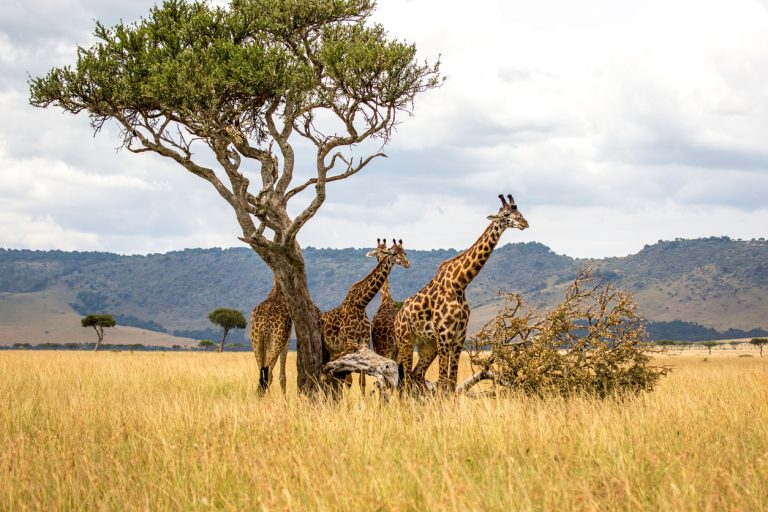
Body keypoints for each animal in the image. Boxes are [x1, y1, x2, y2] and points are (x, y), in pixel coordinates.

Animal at [322, 239, 410, 390]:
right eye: (392, 252)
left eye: (404, 252)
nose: (407, 263)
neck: (360, 304)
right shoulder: (350, 341)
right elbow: (352, 378)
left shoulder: (365, 341)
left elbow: (361, 380)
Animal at [394, 194, 529, 393]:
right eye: (506, 214)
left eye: (519, 211)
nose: (524, 223)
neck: (459, 284)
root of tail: (397, 317)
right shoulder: (444, 335)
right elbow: (443, 381)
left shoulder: (459, 337)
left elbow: (451, 382)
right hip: (405, 340)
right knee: (406, 379)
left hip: (427, 344)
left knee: (416, 374)